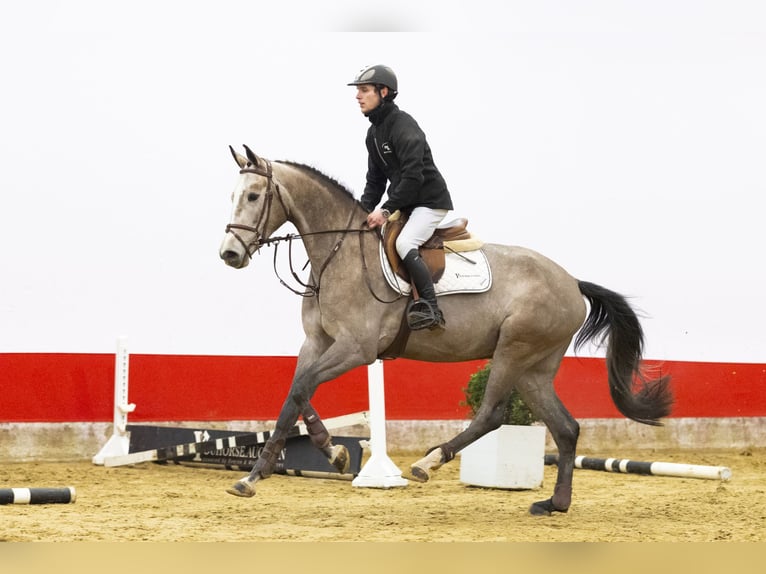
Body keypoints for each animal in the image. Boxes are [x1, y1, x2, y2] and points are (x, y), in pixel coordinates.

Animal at [218, 145, 673, 515]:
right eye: (233, 197)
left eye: (254, 196)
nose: (229, 254)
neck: (338, 253)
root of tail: (573, 283)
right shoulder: (317, 343)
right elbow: (296, 393)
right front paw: (321, 458)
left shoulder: (355, 348)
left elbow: (300, 389)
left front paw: (265, 474)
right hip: (535, 368)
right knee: (566, 428)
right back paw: (555, 504)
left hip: (514, 351)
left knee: (492, 414)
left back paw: (427, 463)